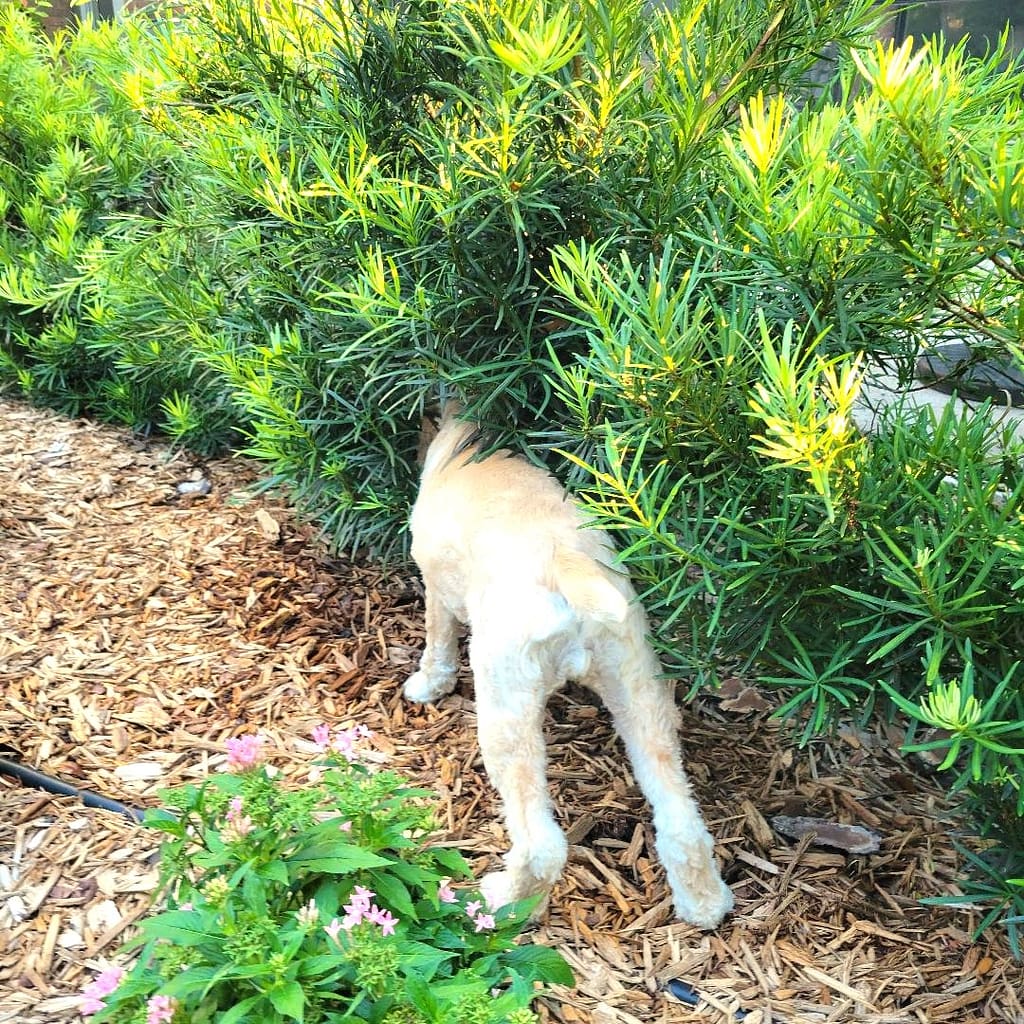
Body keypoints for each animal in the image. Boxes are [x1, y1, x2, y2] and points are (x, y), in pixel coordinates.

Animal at [403, 403, 733, 933]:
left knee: (541, 844)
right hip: (638, 688)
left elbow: (438, 638)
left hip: (507, 707)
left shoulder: (436, 587)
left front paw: (428, 683)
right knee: (681, 819)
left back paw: (504, 901)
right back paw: (705, 904)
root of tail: (567, 564)